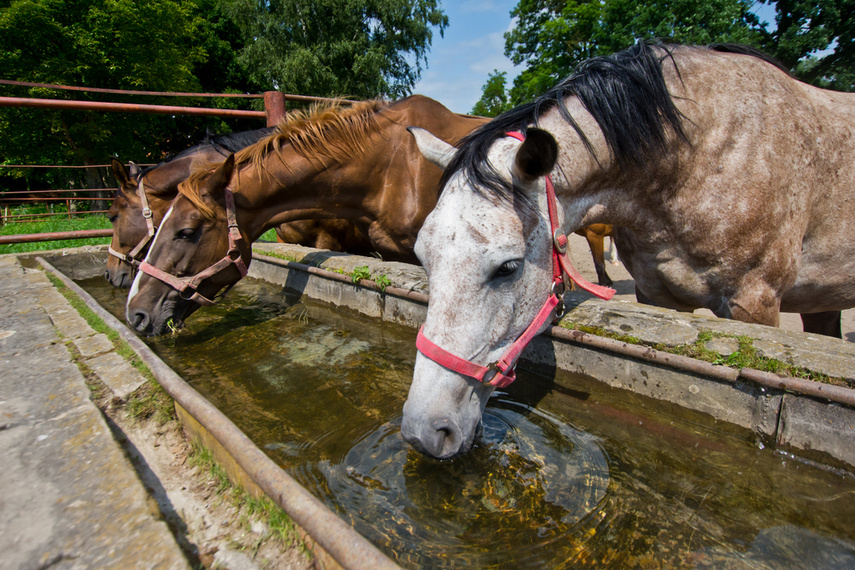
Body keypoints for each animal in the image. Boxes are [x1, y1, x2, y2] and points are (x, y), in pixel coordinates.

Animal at [402, 42, 855, 454]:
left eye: (509, 267)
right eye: (422, 258)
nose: (424, 431)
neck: (692, 162)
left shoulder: (755, 301)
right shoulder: (656, 293)